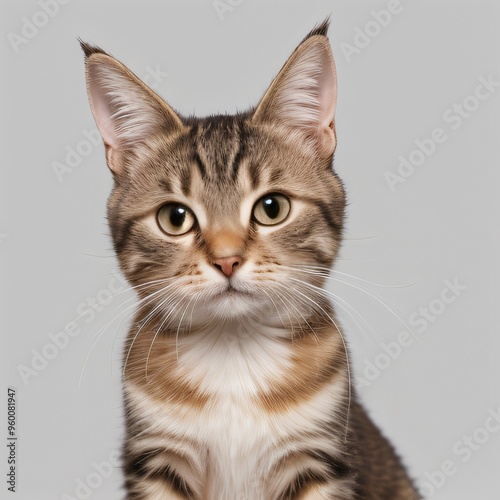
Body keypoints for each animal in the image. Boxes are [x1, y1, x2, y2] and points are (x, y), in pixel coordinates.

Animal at [81, 19, 418, 500]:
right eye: (174, 218)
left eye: (272, 208)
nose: (227, 260)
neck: (233, 351)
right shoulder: (156, 458)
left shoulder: (318, 455)